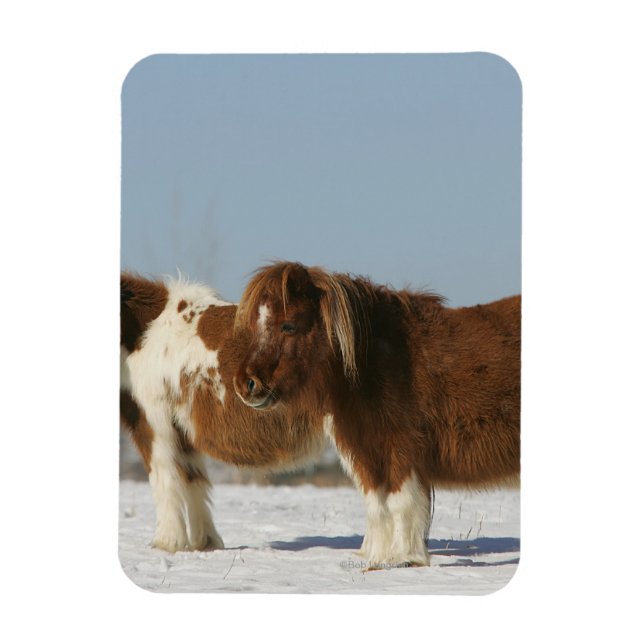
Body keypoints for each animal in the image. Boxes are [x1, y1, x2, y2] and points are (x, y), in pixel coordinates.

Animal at [120, 273, 325, 552]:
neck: (145, 334)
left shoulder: (154, 424)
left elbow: (165, 479)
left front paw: (167, 542)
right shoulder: (182, 432)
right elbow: (192, 481)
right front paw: (204, 542)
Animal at [233, 261, 520, 567]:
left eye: (288, 325)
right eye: (255, 325)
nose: (246, 384)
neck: (378, 362)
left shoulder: (401, 449)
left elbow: (399, 502)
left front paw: (404, 558)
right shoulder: (366, 453)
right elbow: (376, 504)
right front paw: (376, 557)